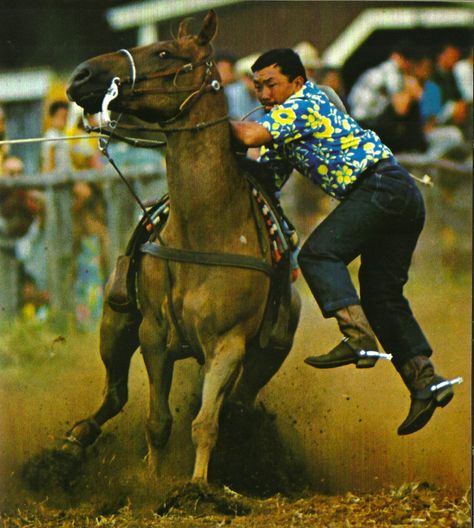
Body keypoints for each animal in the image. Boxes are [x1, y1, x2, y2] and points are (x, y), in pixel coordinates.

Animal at [64, 9, 300, 486]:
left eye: (164, 53)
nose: (81, 75)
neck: (206, 229)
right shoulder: (153, 337)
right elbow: (158, 421)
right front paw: (153, 481)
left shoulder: (228, 346)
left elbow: (205, 422)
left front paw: (198, 487)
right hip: (115, 322)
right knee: (115, 392)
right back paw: (78, 438)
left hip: (267, 354)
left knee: (237, 406)